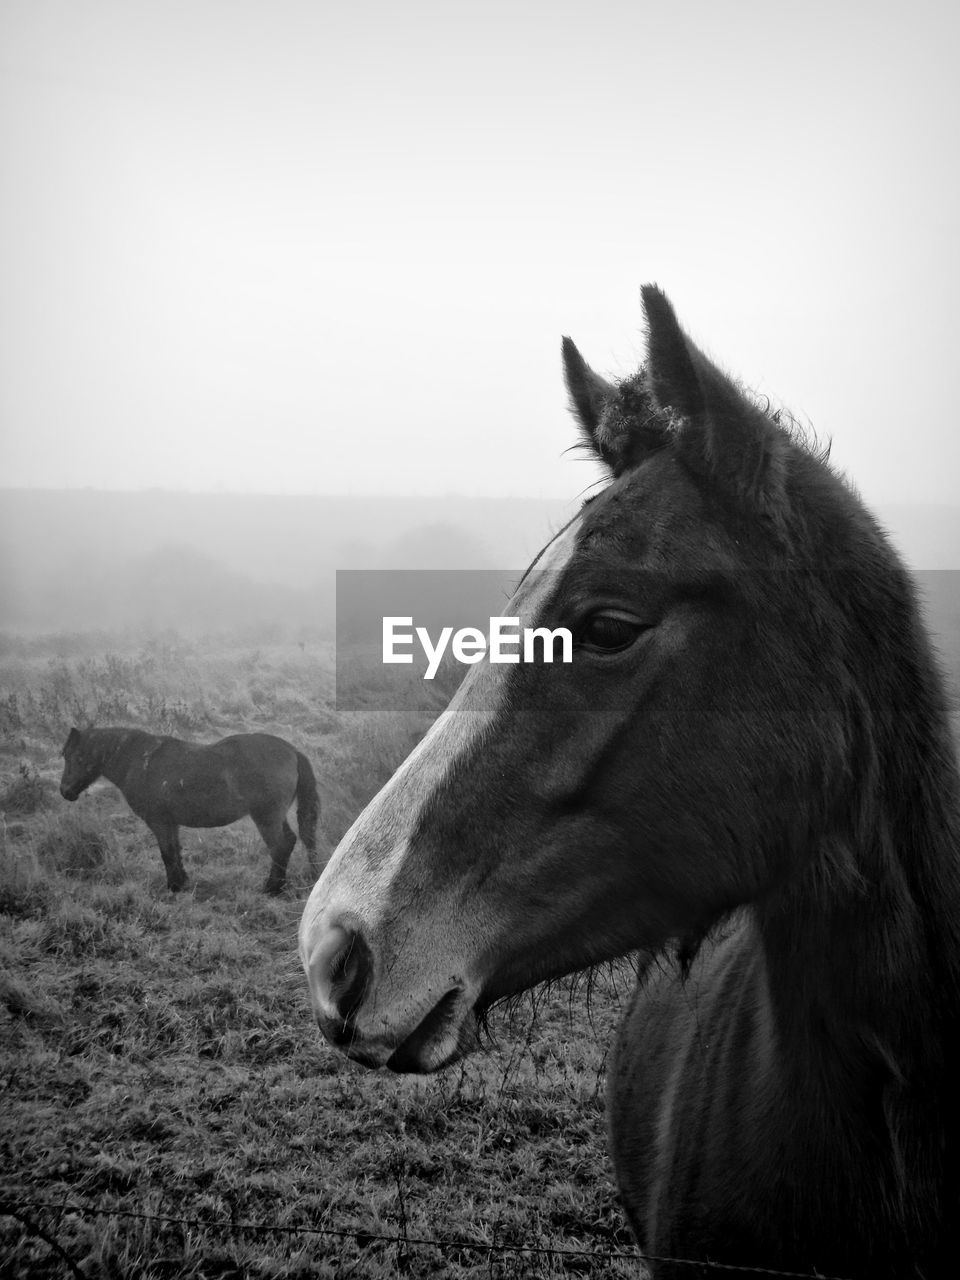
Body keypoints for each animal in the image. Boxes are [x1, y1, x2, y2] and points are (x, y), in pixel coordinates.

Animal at [62, 727, 321, 896]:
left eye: (77, 756)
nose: (65, 791)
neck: (142, 761)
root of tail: (292, 751)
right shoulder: (171, 823)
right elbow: (175, 851)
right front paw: (182, 882)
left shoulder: (160, 823)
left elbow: (167, 853)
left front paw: (174, 887)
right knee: (292, 841)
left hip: (266, 817)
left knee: (280, 846)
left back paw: (272, 888)